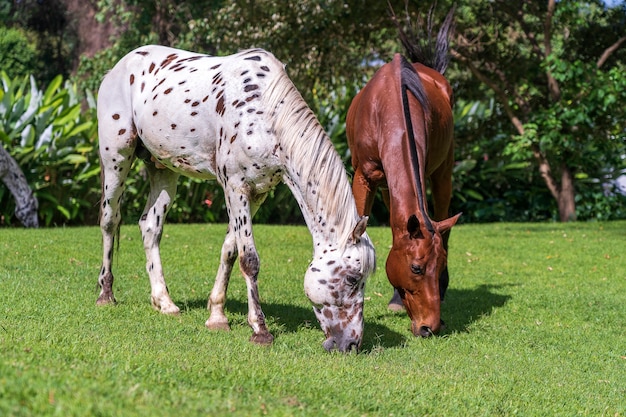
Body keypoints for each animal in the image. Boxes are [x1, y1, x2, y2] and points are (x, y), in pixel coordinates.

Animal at [97, 45, 376, 352]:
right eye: (352, 278)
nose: (351, 344)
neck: (265, 111)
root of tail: (119, 67)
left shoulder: (258, 194)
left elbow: (230, 250)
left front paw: (217, 316)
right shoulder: (235, 187)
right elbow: (249, 259)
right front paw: (260, 329)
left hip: (163, 169)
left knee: (150, 226)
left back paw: (164, 302)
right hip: (117, 158)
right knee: (110, 220)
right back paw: (106, 294)